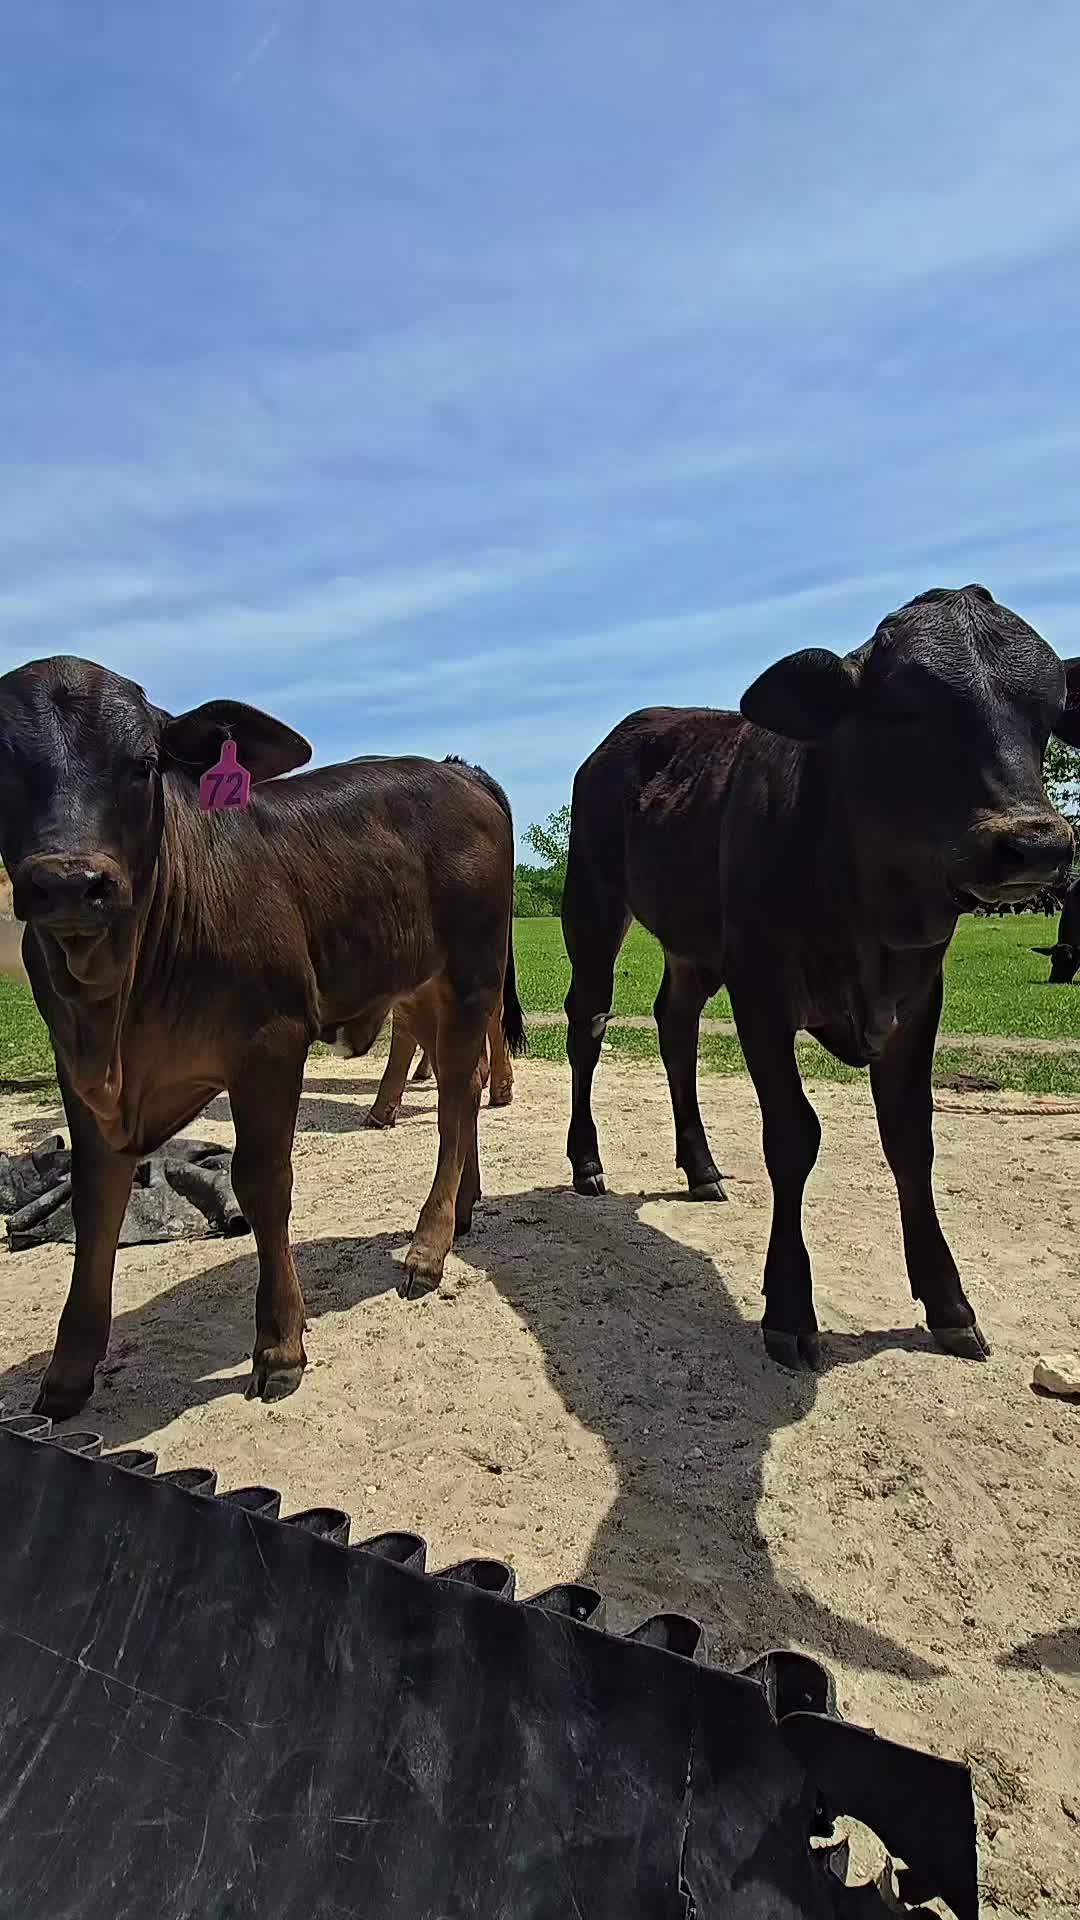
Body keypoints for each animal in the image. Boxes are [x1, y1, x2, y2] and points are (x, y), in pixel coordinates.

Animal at [0, 656, 524, 1418]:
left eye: (144, 763)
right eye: (1, 762)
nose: (70, 883)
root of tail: (459, 771)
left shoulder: (271, 1044)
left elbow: (261, 1182)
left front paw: (280, 1345)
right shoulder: (79, 1071)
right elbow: (97, 1201)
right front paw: (67, 1371)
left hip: (469, 978)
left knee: (459, 1098)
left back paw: (429, 1246)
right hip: (421, 985)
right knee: (463, 1091)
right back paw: (463, 1208)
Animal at [561, 586, 1077, 1370]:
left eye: (1047, 718)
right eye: (907, 710)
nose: (1037, 843)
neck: (872, 914)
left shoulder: (918, 996)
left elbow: (911, 1138)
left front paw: (949, 1303)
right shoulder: (760, 987)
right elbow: (792, 1135)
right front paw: (789, 1309)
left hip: (692, 947)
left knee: (675, 1027)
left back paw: (701, 1167)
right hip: (592, 909)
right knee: (587, 1025)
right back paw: (587, 1161)